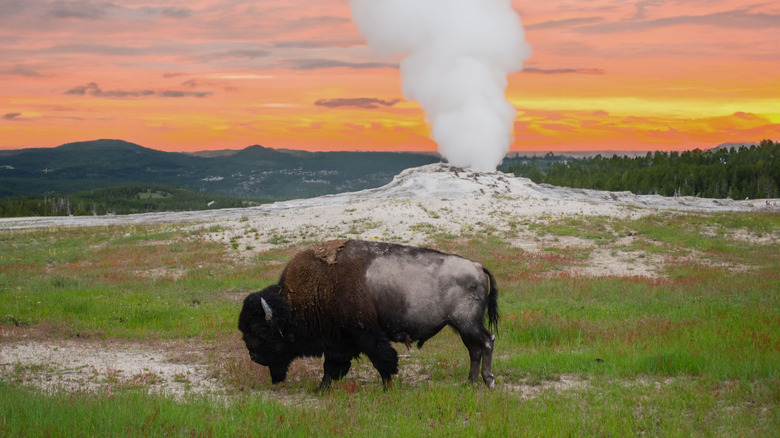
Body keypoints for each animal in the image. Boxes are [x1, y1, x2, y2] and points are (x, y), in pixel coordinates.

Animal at [238, 239, 498, 391]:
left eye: (262, 330)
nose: (252, 356)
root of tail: (477, 266)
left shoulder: (366, 334)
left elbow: (383, 360)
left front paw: (387, 387)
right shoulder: (338, 343)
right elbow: (331, 367)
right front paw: (321, 389)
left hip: (468, 324)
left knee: (487, 342)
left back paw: (488, 381)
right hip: (462, 327)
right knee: (474, 350)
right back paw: (469, 383)